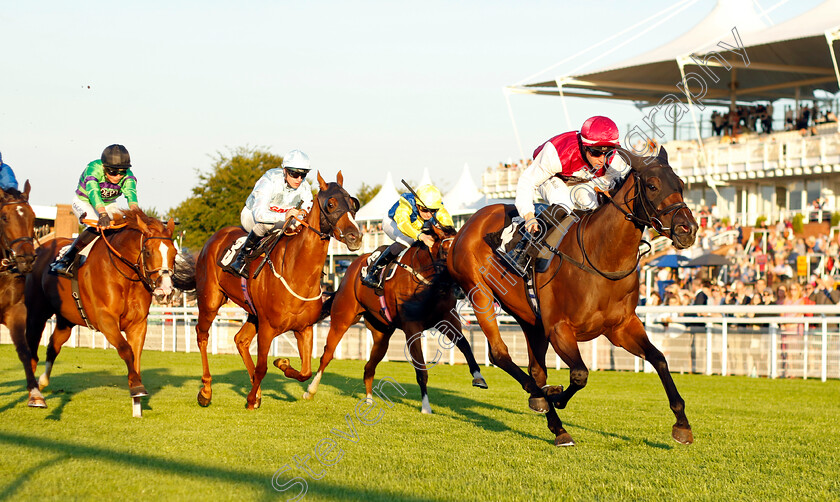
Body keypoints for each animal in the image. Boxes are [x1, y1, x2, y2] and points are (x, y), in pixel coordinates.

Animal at [195, 172, 362, 408]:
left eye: (353, 203)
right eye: (331, 204)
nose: (355, 236)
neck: (296, 273)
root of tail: (214, 238)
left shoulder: (304, 328)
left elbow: (305, 371)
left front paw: (282, 364)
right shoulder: (267, 328)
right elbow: (262, 368)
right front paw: (250, 399)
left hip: (252, 313)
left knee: (240, 340)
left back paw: (256, 392)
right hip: (210, 300)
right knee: (202, 336)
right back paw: (206, 391)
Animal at [450, 147, 700, 446]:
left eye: (681, 185)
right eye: (652, 186)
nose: (688, 229)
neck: (601, 256)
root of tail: (468, 223)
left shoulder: (621, 327)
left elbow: (659, 359)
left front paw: (682, 424)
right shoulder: (560, 329)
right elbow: (580, 374)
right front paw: (556, 398)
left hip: (529, 318)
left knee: (536, 369)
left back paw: (546, 409)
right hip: (481, 295)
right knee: (500, 354)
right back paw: (548, 408)